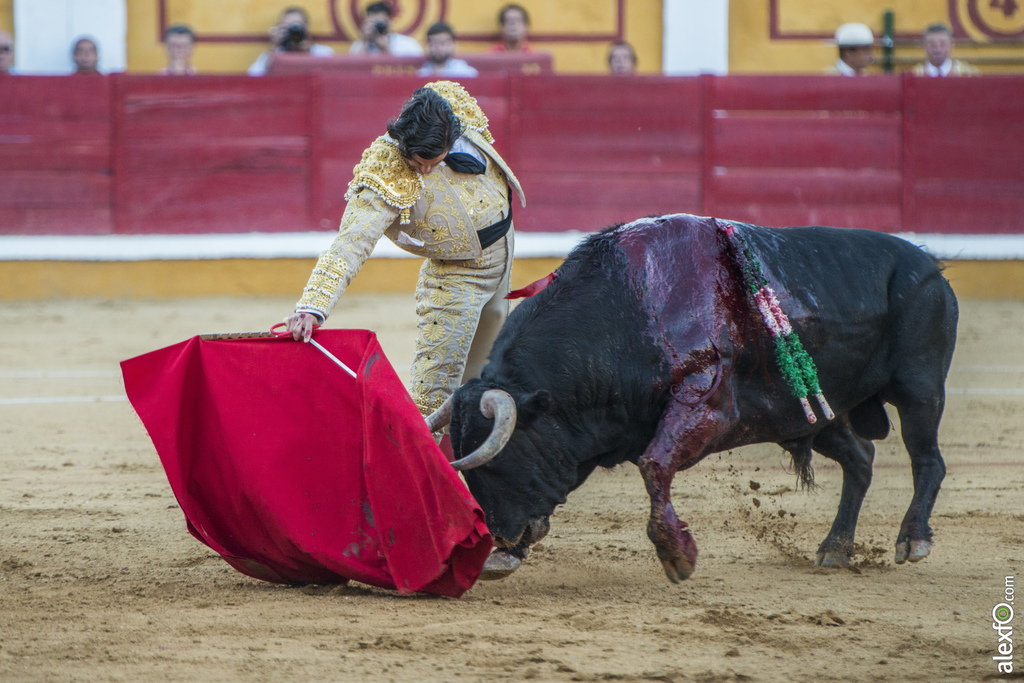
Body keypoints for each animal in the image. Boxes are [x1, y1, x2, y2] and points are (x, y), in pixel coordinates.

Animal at [448, 214, 958, 581]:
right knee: (862, 458)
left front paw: (678, 556)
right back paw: (835, 548)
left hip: (919, 388)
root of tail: (929, 265)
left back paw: (912, 541)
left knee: (928, 459)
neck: (628, 312)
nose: (501, 541)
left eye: (499, 458)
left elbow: (654, 465)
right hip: (815, 413)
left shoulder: (707, 406)